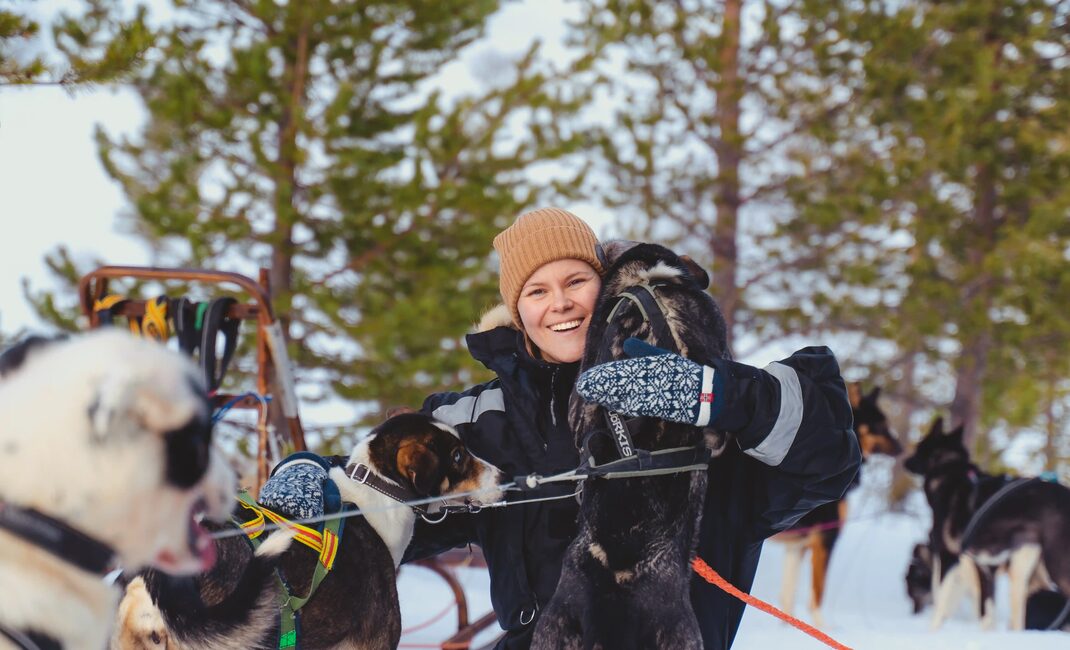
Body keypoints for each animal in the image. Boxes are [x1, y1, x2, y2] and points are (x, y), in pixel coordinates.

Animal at [774, 384, 902, 626]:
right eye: (881, 425)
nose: (903, 448)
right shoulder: (825, 539)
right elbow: (817, 595)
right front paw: (822, 627)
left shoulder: (796, 546)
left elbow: (786, 600)